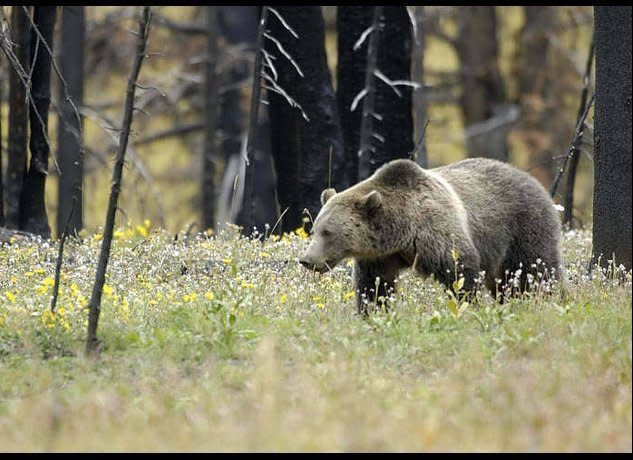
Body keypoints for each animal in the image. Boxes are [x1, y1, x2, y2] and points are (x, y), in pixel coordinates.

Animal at [298, 157, 564, 312]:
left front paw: (468, 306)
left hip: (523, 226)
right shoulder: (380, 256)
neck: (401, 232)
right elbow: (374, 286)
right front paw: (372, 312)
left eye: (328, 232)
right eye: (315, 229)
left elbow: (460, 271)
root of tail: (534, 181)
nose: (306, 260)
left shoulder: (436, 232)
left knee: (535, 271)